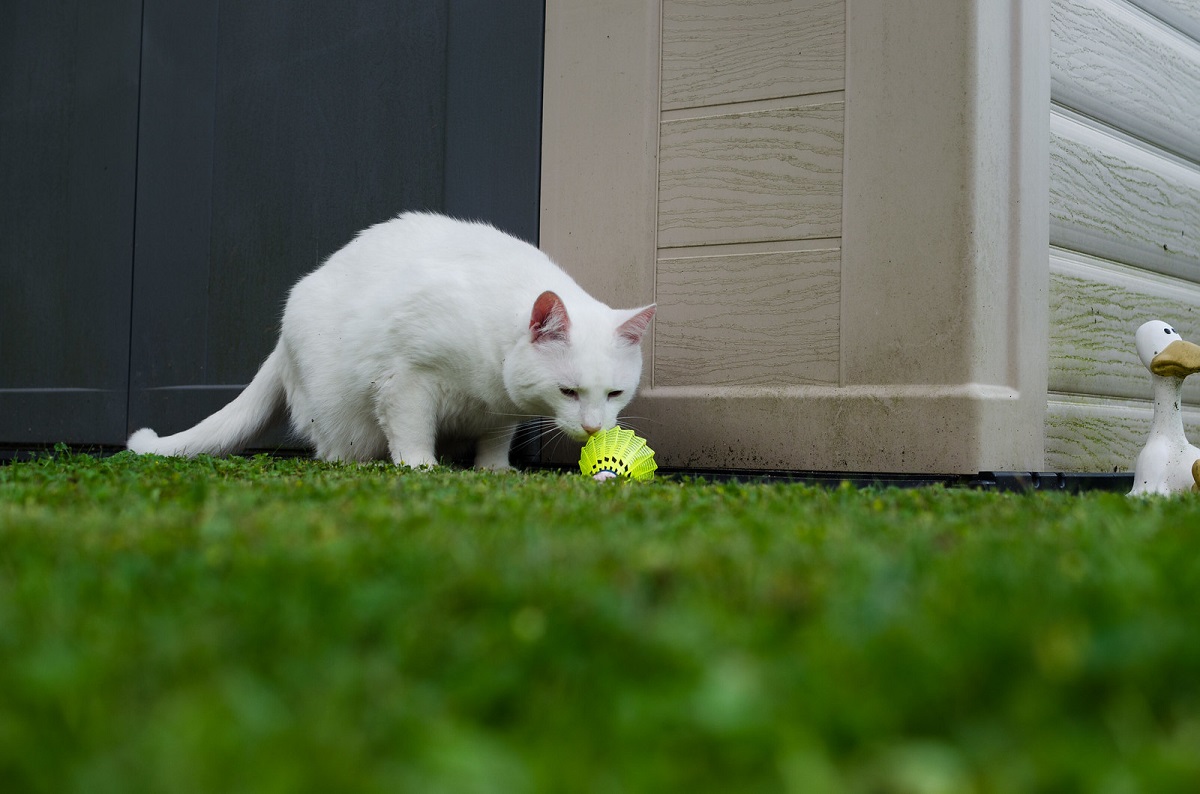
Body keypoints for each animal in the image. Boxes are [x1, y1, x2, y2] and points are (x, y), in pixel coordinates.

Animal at [127, 213, 657, 472]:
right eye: (568, 392)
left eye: (614, 394)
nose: (593, 428)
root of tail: (280, 340)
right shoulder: (405, 379)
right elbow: (411, 430)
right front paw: (421, 468)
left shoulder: (499, 411)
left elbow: (494, 441)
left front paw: (494, 472)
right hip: (344, 420)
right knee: (335, 450)